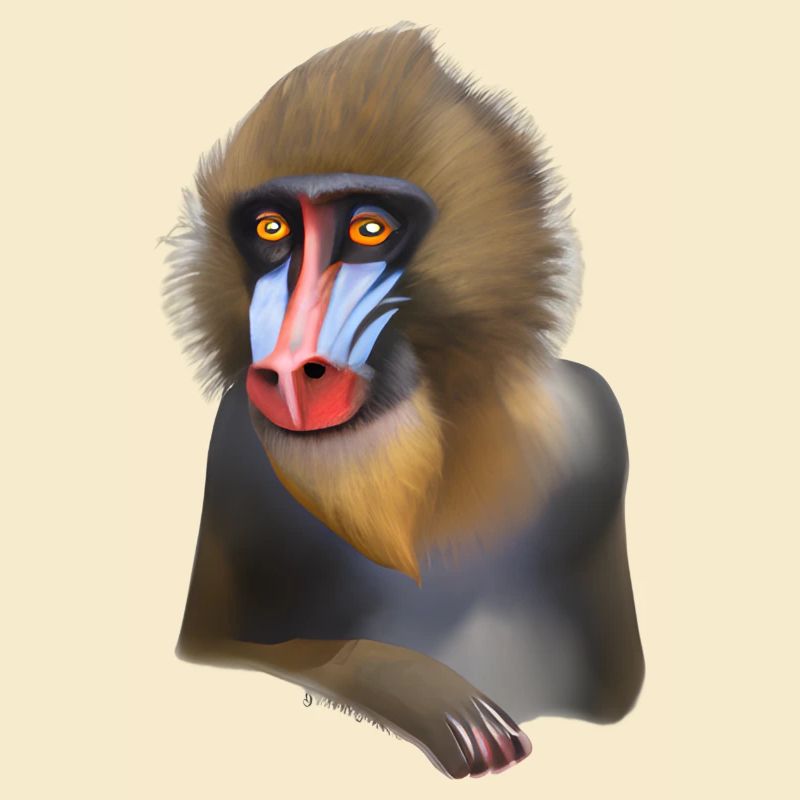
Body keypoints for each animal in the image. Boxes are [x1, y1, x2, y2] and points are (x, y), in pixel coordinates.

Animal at [162, 24, 645, 779]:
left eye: (369, 228)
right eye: (273, 229)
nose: (291, 372)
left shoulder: (599, 425)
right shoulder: (230, 443)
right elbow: (221, 649)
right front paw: (428, 692)